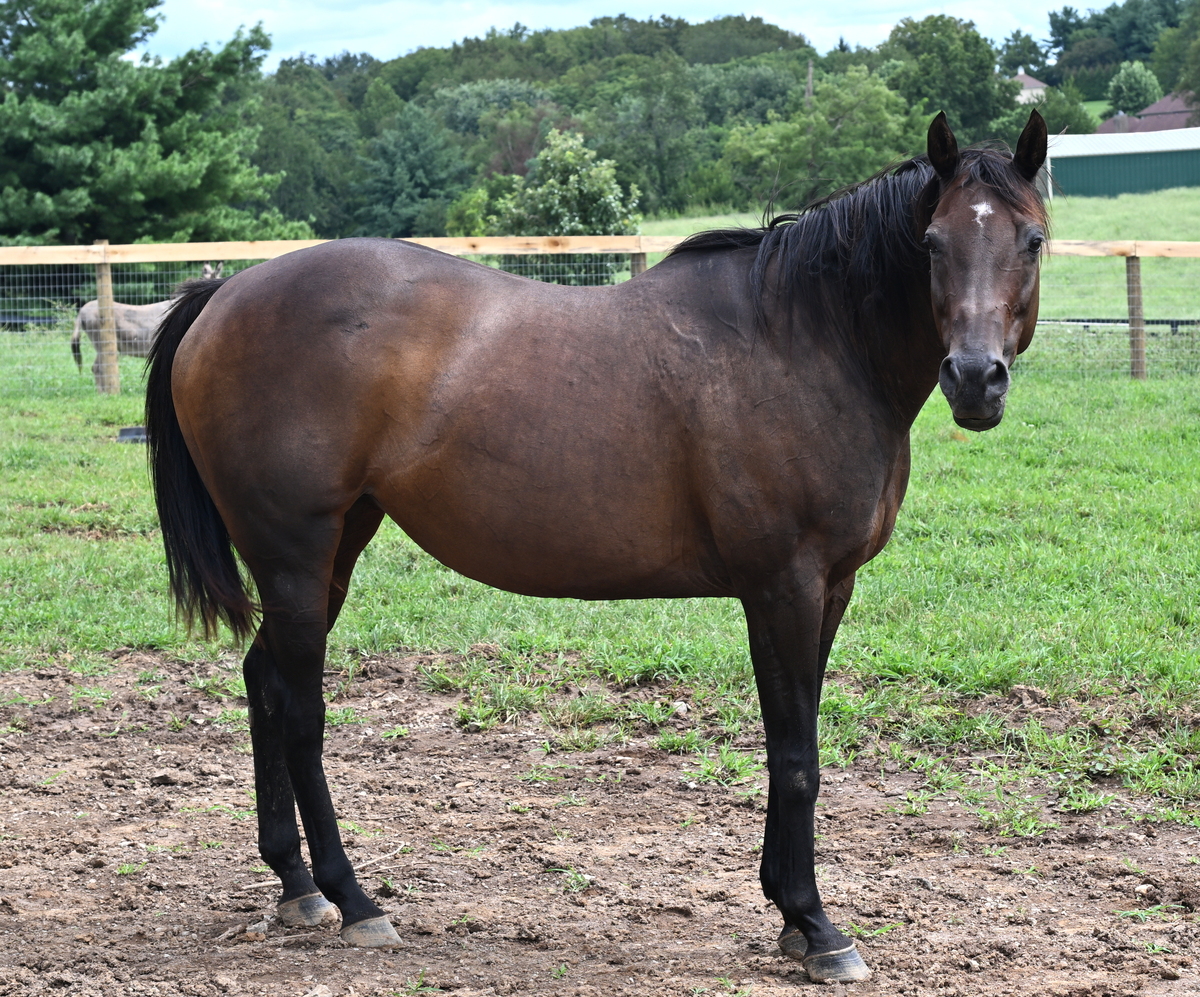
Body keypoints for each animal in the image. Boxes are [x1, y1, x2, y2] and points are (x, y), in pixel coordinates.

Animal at [144, 111, 1048, 983]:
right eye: (931, 243)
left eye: (1032, 239)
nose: (975, 379)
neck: (808, 339)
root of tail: (223, 295)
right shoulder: (782, 586)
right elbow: (796, 755)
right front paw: (817, 925)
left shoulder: (830, 589)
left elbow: (795, 743)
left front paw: (790, 913)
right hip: (296, 556)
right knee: (300, 709)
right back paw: (354, 897)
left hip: (333, 549)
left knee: (264, 681)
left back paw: (296, 885)